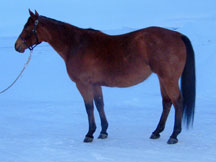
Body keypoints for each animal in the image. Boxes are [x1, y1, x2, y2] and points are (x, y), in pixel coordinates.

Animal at [13, 9, 196, 144]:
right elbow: (100, 104)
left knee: (177, 101)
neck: (75, 45)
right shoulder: (95, 84)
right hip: (162, 79)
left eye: (27, 28)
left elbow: (89, 107)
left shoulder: (83, 84)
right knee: (167, 102)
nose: (17, 46)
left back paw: (174, 135)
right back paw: (157, 132)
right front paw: (103, 131)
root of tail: (177, 35)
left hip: (168, 79)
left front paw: (90, 133)